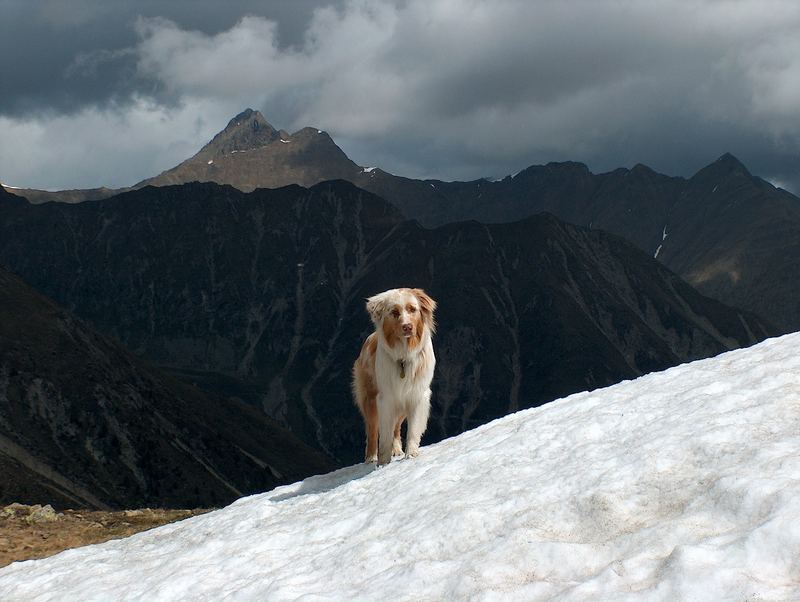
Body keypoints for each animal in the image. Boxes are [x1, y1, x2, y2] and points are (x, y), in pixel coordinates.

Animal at [352, 286, 438, 464]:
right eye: (394, 312)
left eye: (412, 309)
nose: (407, 327)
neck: (404, 356)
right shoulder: (386, 398)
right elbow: (384, 435)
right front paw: (383, 463)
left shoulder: (416, 394)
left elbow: (412, 429)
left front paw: (410, 454)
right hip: (369, 398)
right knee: (372, 430)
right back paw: (371, 458)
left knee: (396, 428)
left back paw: (397, 450)